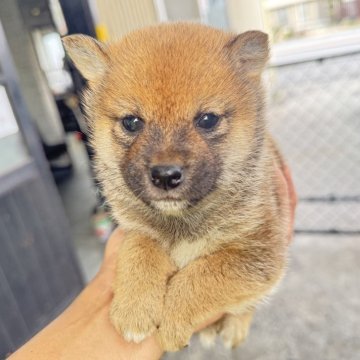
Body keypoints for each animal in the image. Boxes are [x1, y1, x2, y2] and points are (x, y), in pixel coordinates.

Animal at [63, 21, 292, 352]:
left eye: (207, 120)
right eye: (132, 122)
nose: (165, 175)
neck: (181, 222)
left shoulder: (260, 253)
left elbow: (201, 277)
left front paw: (172, 322)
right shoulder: (134, 230)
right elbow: (139, 251)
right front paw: (133, 308)